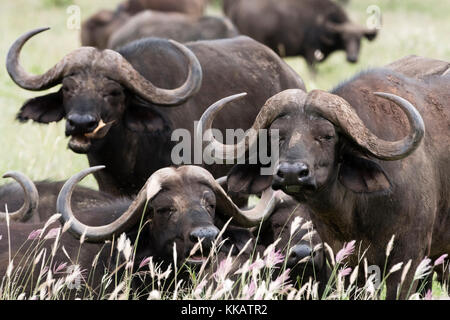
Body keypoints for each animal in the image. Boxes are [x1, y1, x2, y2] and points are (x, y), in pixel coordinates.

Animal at [200, 55, 450, 300]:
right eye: (277, 135)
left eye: (327, 135)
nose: (291, 173)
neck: (355, 212)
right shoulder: (344, 261)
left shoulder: (409, 257)